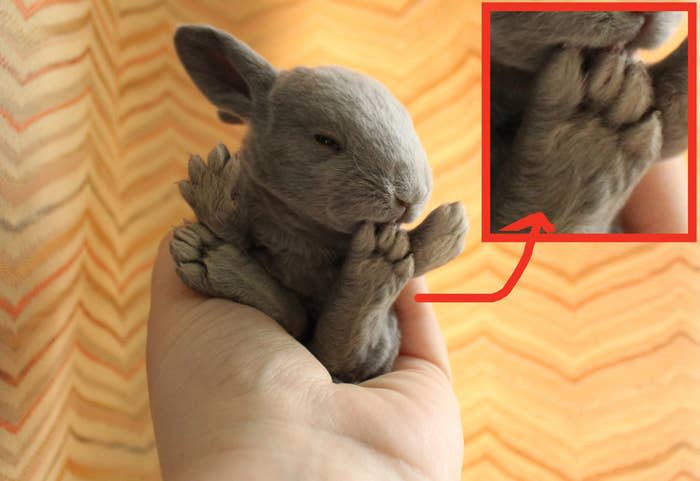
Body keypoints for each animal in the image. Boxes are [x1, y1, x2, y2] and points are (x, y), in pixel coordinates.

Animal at [167, 25, 468, 382]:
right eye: (325, 140)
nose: (408, 196)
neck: (308, 232)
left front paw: (451, 228)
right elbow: (236, 233)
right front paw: (213, 185)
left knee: (342, 349)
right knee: (298, 322)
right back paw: (209, 257)